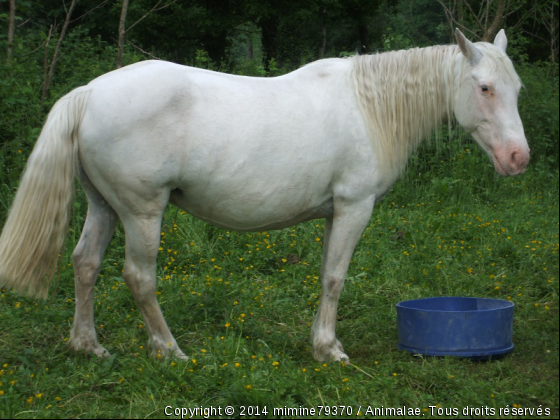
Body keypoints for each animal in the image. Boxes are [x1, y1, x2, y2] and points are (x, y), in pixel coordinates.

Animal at [0, 31, 528, 362]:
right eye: (484, 87)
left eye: (516, 88)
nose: (518, 158)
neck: (368, 106)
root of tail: (89, 92)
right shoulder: (354, 208)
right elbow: (335, 277)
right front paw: (329, 350)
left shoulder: (334, 213)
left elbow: (325, 274)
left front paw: (318, 341)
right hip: (142, 212)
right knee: (139, 278)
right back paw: (169, 351)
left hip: (105, 206)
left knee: (85, 263)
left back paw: (87, 345)